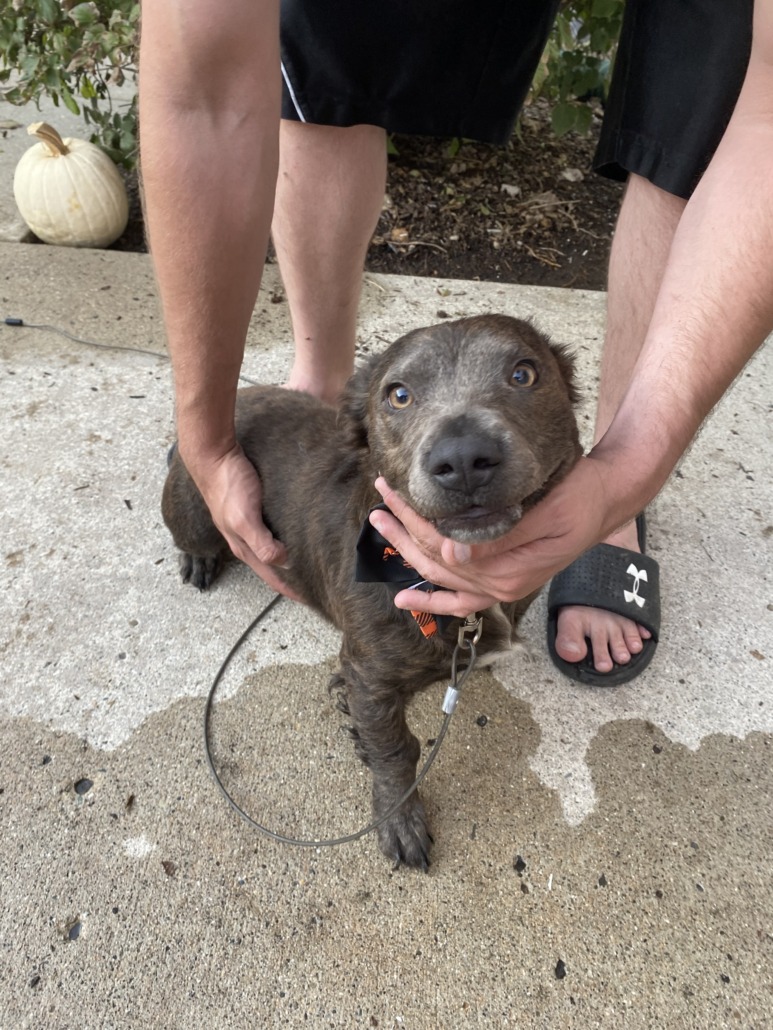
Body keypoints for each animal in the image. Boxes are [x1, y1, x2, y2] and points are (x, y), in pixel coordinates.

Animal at [162, 314, 581, 868]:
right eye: (398, 395)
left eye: (524, 374)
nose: (463, 458)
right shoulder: (372, 678)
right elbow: (396, 748)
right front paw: (398, 817)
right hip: (195, 507)